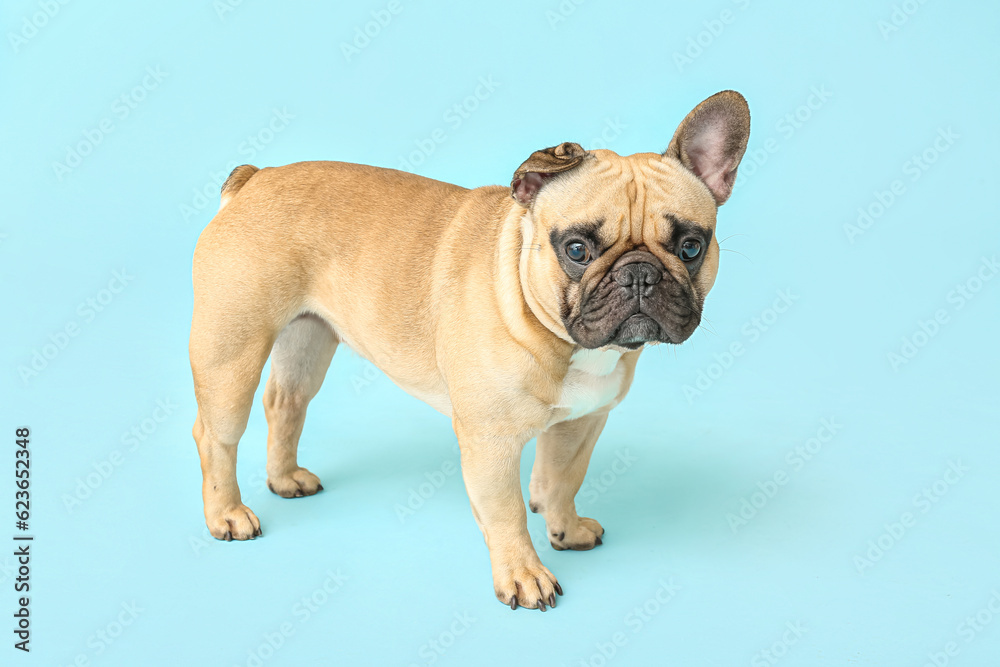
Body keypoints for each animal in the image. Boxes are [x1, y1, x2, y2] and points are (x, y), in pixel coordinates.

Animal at [188, 91, 752, 612]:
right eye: (576, 249)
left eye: (690, 247)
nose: (639, 275)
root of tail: (255, 178)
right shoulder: (491, 442)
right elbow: (505, 513)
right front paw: (524, 576)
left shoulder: (581, 422)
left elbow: (562, 480)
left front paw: (565, 530)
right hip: (231, 352)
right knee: (216, 434)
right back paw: (227, 515)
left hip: (307, 339)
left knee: (286, 403)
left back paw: (285, 480)